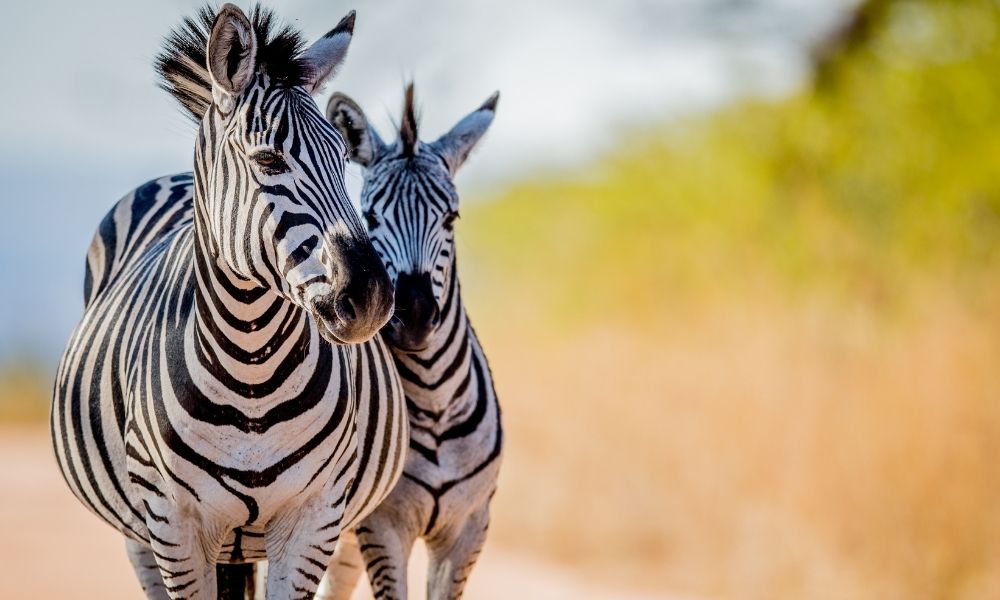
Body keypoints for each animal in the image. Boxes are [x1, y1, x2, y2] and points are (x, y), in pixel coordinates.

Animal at [50, 5, 408, 599]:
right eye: (268, 160)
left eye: (343, 159)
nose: (373, 298)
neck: (251, 372)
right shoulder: (174, 525)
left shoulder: (314, 519)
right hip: (140, 533)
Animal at [314, 84, 504, 600]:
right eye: (370, 216)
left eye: (451, 218)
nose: (414, 319)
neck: (435, 403)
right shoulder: (383, 528)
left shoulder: (469, 528)